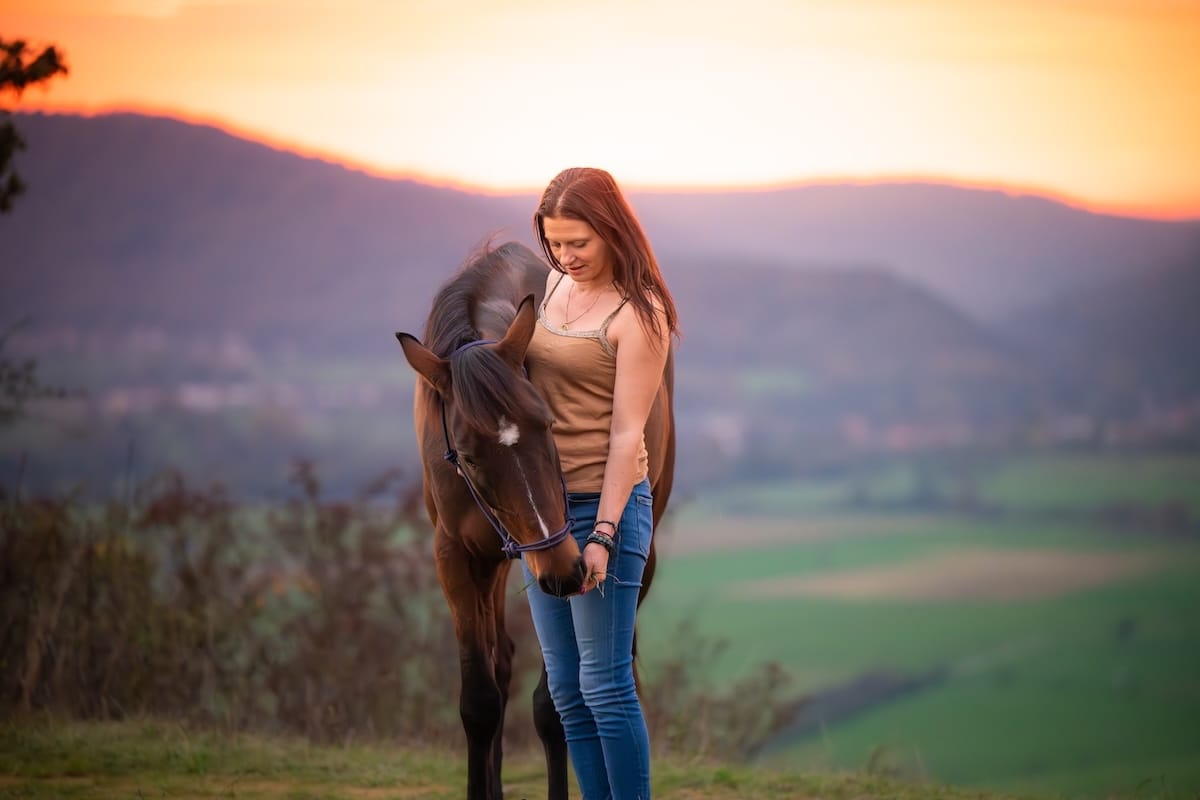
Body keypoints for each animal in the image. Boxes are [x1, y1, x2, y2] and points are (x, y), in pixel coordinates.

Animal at [396, 241, 675, 800]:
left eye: (547, 423)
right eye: (468, 455)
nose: (566, 571)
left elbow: (554, 709)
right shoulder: (455, 555)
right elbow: (479, 700)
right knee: (502, 661)